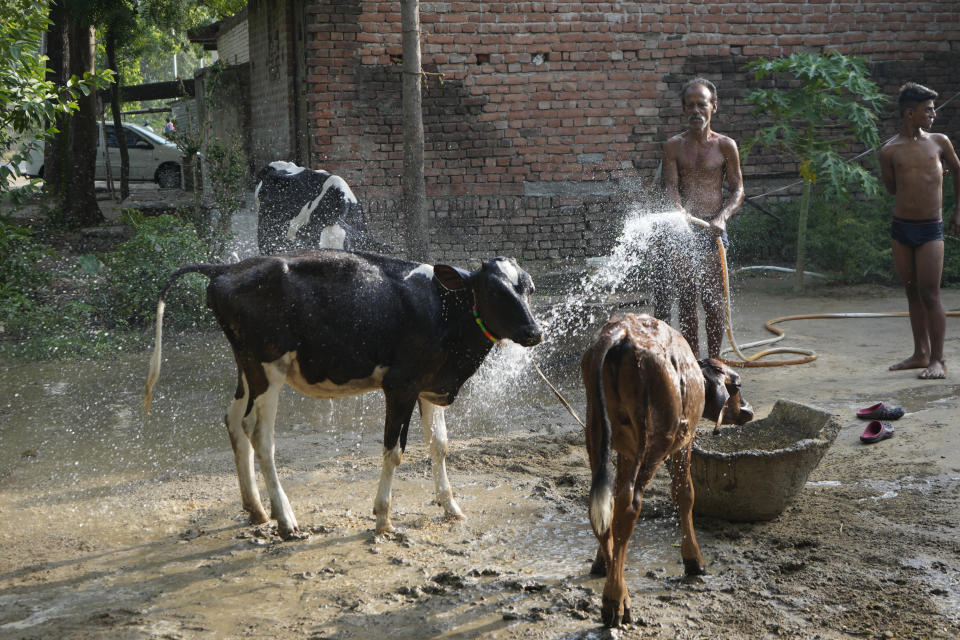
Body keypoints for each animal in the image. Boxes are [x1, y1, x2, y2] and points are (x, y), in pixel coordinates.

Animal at [145, 250, 544, 540]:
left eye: (529, 288)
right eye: (495, 291)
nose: (534, 332)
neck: (445, 310)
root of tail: (228, 268)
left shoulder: (430, 385)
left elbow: (440, 445)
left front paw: (451, 508)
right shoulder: (401, 385)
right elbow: (394, 451)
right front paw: (383, 518)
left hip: (247, 366)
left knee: (233, 421)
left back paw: (256, 509)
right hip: (268, 368)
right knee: (259, 433)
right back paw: (285, 519)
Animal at [580, 312, 752, 628]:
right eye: (736, 385)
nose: (748, 410)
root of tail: (622, 335)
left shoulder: (626, 451)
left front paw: (602, 562)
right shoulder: (685, 441)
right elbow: (684, 494)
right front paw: (693, 561)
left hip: (597, 430)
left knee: (603, 504)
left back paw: (614, 581)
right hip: (660, 437)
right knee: (630, 505)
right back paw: (615, 600)